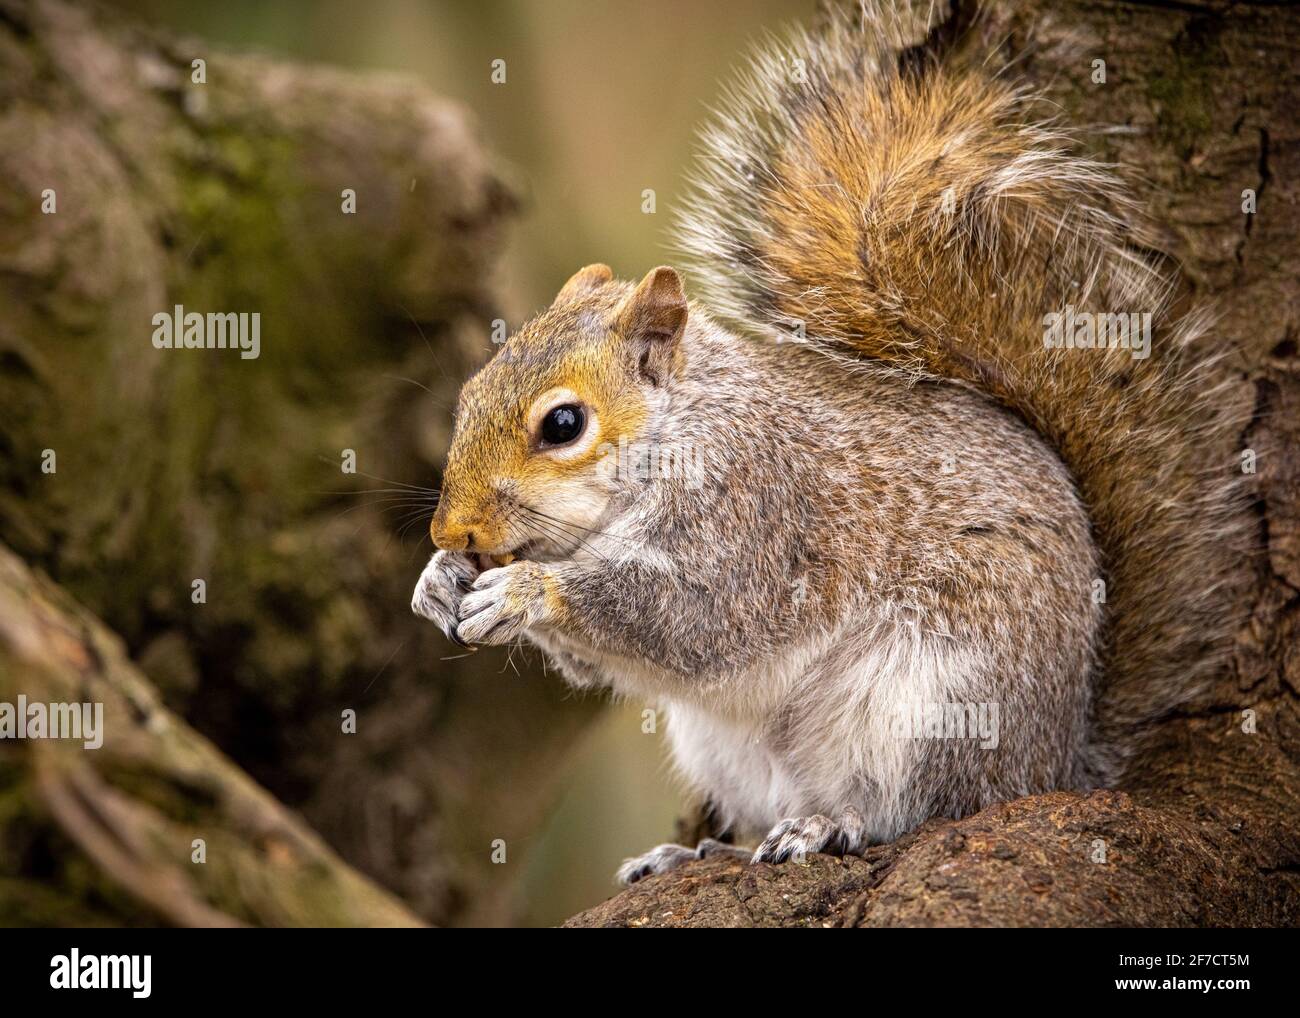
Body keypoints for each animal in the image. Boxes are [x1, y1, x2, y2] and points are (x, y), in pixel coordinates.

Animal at [411, 2, 1248, 884]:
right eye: (468, 393)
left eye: (563, 425)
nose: (451, 530)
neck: (682, 431)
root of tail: (1056, 757)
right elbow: (597, 659)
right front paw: (438, 582)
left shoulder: (757, 510)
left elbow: (692, 617)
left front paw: (526, 590)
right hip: (728, 747)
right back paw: (696, 846)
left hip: (934, 701)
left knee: (920, 810)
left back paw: (828, 825)